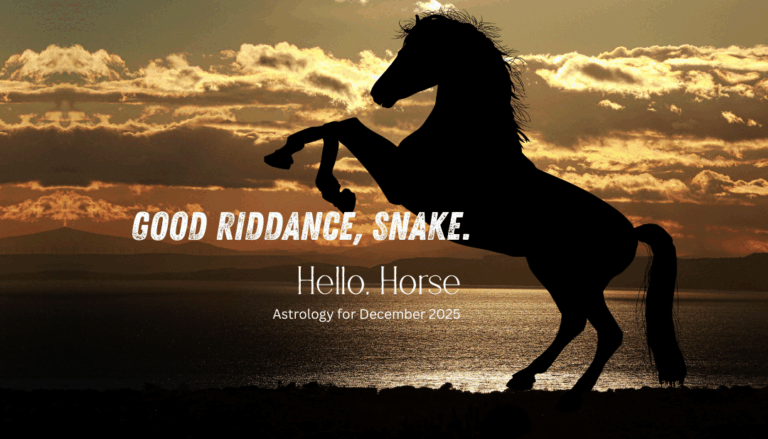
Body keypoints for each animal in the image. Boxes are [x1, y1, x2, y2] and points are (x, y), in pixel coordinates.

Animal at [264, 10, 686, 411]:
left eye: (419, 50)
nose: (378, 92)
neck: (466, 139)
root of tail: (631, 232)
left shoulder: (402, 182)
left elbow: (343, 125)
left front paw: (333, 189)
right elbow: (337, 124)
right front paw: (290, 159)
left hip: (577, 278)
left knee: (606, 332)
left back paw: (571, 396)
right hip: (552, 271)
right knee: (574, 322)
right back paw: (523, 377)